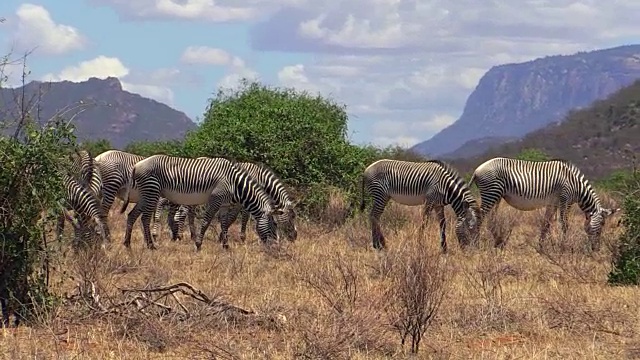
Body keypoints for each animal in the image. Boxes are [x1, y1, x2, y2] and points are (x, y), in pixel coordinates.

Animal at [118, 155, 282, 250]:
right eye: (274, 225)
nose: (275, 247)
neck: (235, 183)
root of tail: (137, 165)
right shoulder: (216, 200)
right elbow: (206, 221)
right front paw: (198, 244)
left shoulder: (224, 204)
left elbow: (224, 223)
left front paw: (225, 245)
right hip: (152, 191)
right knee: (145, 218)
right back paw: (151, 245)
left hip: (145, 194)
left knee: (132, 215)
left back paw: (127, 244)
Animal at [470, 156, 620, 252]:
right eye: (602, 225)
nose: (597, 250)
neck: (576, 185)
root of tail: (477, 170)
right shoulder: (565, 200)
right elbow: (564, 224)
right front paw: (564, 247)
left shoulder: (553, 203)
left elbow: (546, 224)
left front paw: (541, 247)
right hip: (491, 193)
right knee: (480, 216)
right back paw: (476, 244)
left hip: (497, 196)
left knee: (491, 219)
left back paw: (496, 243)